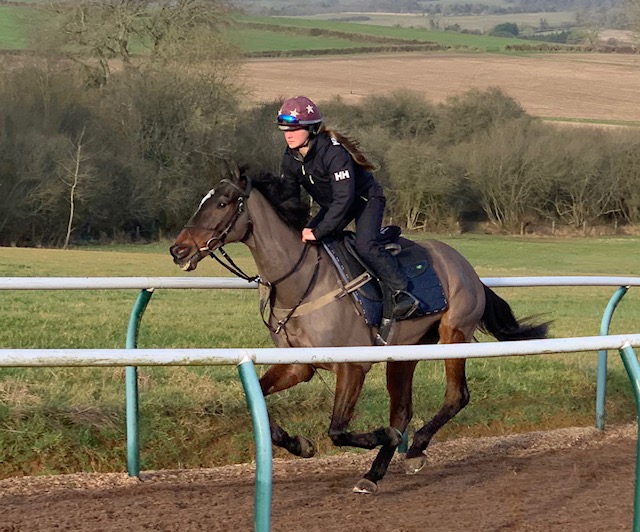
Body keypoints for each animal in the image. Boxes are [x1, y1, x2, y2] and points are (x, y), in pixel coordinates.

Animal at [171, 163, 552, 494]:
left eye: (222, 203)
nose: (178, 249)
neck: (301, 279)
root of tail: (466, 267)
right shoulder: (299, 365)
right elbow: (259, 402)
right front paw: (300, 444)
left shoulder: (352, 364)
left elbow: (338, 430)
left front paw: (385, 437)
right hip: (405, 352)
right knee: (402, 410)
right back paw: (375, 473)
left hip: (453, 335)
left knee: (456, 396)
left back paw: (414, 450)